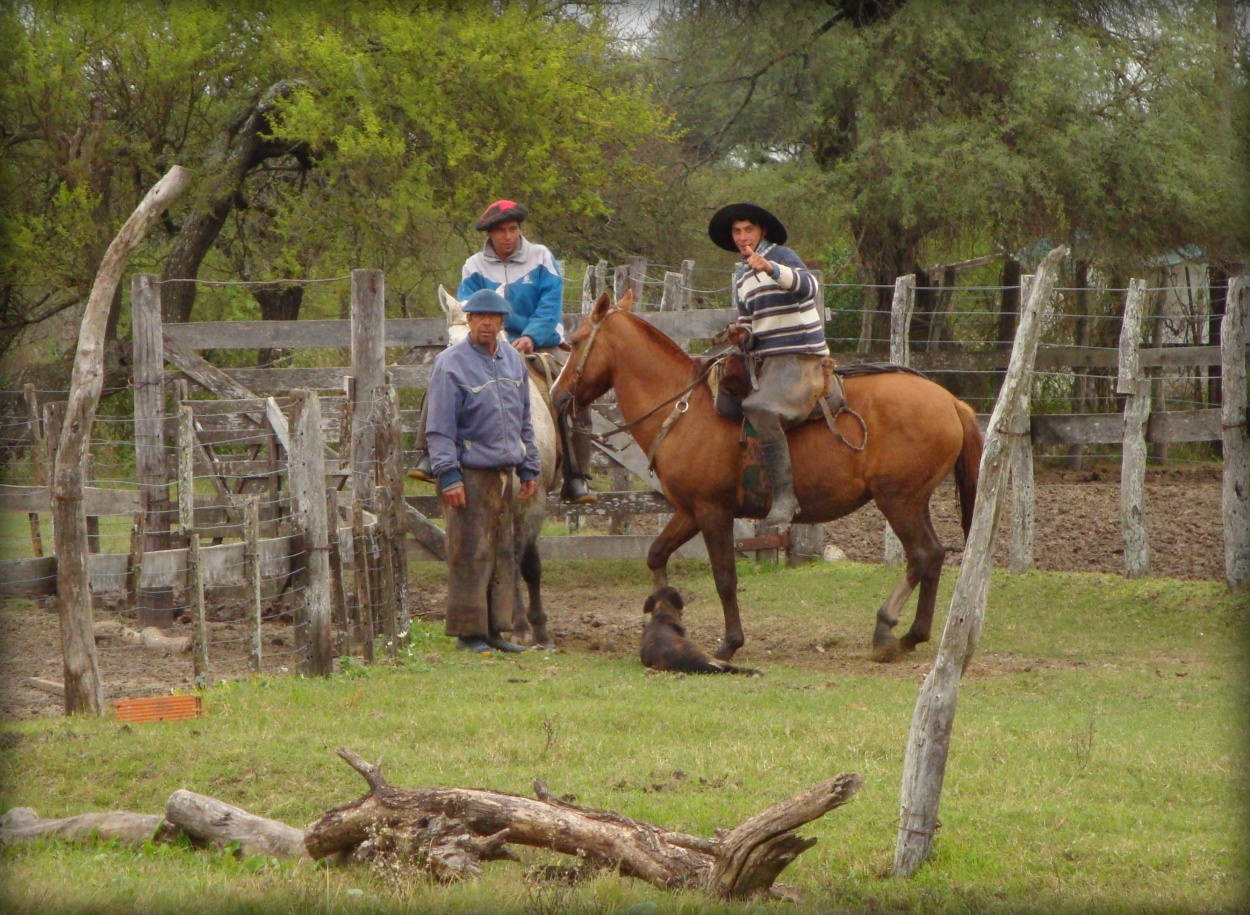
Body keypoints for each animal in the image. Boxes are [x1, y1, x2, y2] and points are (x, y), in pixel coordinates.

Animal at [552, 290, 980, 660]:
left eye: (574, 342)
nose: (557, 395)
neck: (683, 407)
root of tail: (951, 402)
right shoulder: (689, 511)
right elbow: (657, 554)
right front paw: (666, 617)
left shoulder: (712, 511)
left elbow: (725, 577)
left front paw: (729, 643)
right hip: (915, 501)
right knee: (934, 555)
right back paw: (913, 634)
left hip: (898, 500)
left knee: (921, 555)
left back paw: (888, 628)